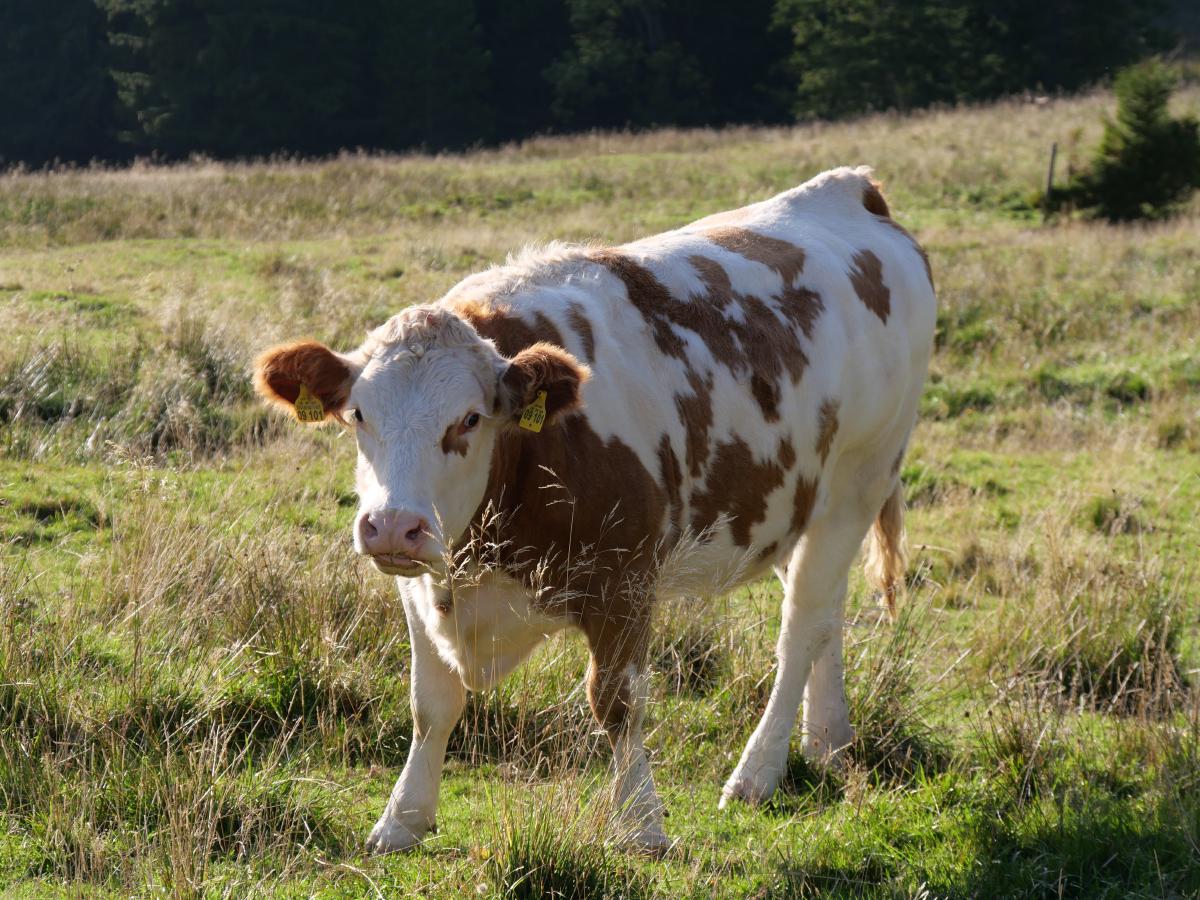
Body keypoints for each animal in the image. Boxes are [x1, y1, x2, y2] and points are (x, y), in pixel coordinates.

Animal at [253, 166, 936, 853]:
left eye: (469, 419)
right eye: (359, 415)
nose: (393, 526)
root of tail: (850, 189)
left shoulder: (625, 580)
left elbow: (616, 701)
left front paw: (641, 823)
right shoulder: (420, 586)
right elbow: (431, 702)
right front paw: (402, 819)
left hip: (858, 481)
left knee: (801, 628)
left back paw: (757, 773)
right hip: (798, 502)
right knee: (826, 616)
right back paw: (827, 740)